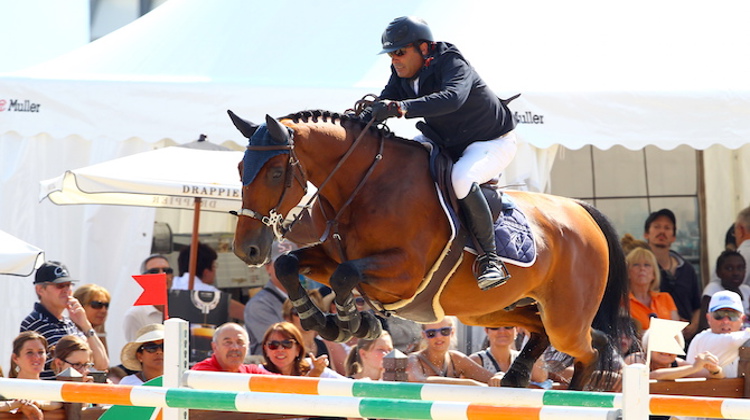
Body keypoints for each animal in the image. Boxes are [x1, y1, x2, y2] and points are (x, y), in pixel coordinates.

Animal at [229, 109, 628, 390]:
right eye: (240, 167)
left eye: (275, 173)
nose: (247, 250)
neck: (363, 185)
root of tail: (582, 211)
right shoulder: (329, 258)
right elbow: (288, 264)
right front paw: (321, 321)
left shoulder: (403, 274)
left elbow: (346, 274)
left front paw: (354, 322)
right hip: (491, 312)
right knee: (557, 334)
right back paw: (516, 376)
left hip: (564, 318)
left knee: (589, 347)